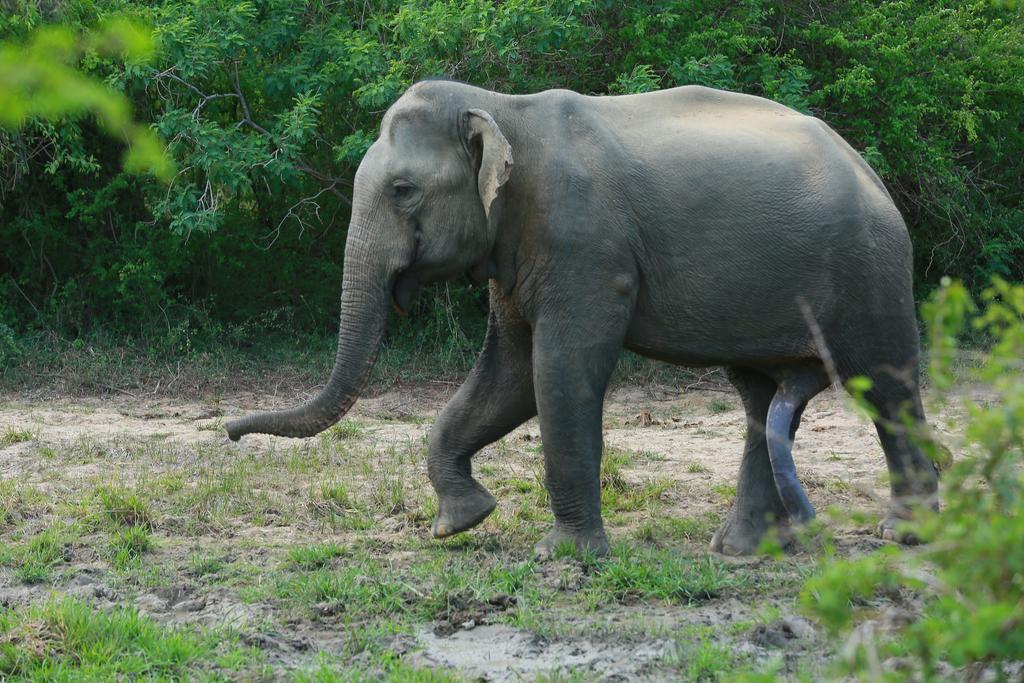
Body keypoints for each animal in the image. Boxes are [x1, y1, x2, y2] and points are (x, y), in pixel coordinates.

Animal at [228, 81, 937, 557]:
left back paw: (903, 534)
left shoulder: (586, 248)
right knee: (760, 395)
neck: (502, 107)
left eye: (403, 191)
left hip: (869, 269)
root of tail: (868, 171)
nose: (232, 434)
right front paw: (460, 522)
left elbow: (559, 371)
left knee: (885, 385)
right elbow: (507, 377)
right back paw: (743, 550)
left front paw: (564, 558)